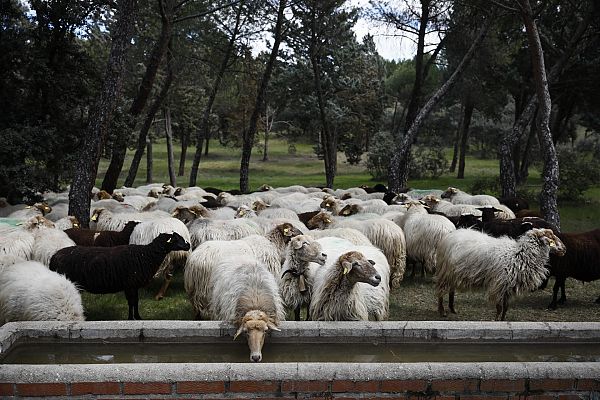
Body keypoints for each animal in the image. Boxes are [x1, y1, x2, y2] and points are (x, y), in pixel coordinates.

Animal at [50, 231, 190, 318]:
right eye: (177, 239)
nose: (188, 246)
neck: (146, 255)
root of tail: (54, 257)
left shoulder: (133, 285)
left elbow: (135, 302)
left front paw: (138, 317)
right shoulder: (130, 285)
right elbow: (131, 302)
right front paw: (131, 318)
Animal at [434, 227, 564, 320]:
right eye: (551, 238)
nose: (564, 249)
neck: (519, 255)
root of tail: (450, 235)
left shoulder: (508, 286)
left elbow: (505, 308)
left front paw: (502, 320)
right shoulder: (499, 284)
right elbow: (499, 307)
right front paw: (497, 320)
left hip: (453, 274)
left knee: (451, 291)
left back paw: (452, 309)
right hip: (445, 272)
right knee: (441, 291)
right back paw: (442, 311)